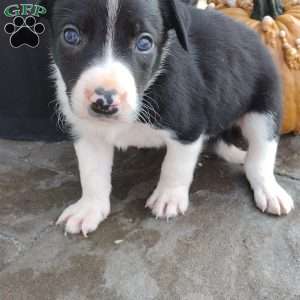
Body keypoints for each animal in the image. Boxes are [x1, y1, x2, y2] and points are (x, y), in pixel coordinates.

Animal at [41, 0, 292, 237]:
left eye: (145, 43)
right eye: (70, 36)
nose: (104, 101)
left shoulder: (189, 129)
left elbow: (174, 166)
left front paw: (168, 197)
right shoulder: (88, 135)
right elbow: (92, 174)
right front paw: (89, 208)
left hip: (265, 107)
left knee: (260, 155)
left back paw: (269, 190)